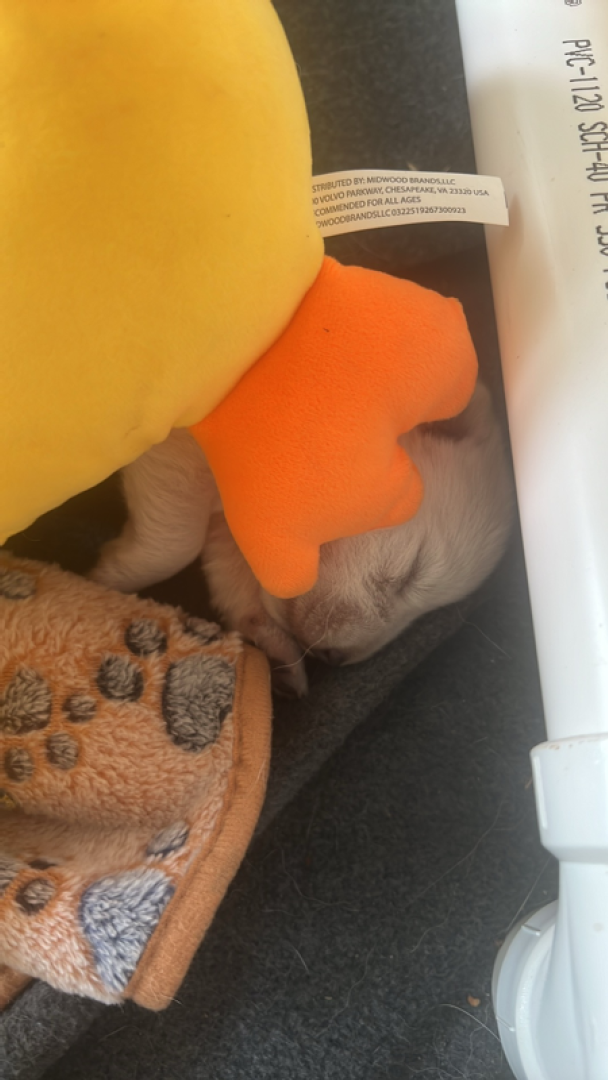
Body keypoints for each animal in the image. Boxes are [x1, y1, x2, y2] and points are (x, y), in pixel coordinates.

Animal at [91, 382, 513, 696]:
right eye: (412, 570)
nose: (333, 657)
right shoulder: (194, 435)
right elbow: (178, 534)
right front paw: (104, 578)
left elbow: (230, 562)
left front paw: (277, 657)